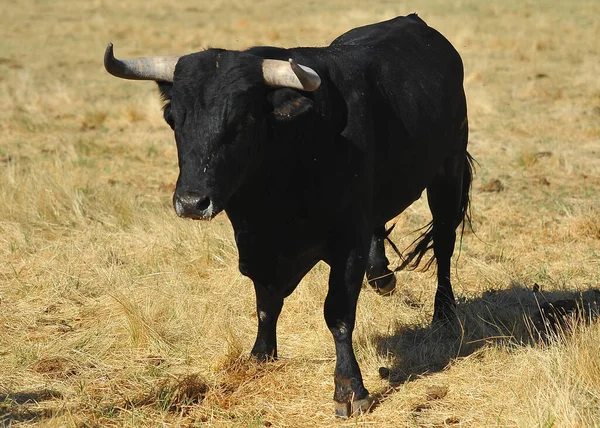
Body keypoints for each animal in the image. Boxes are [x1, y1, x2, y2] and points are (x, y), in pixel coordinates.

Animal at [105, 14, 476, 418]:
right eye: (173, 118)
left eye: (244, 120)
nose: (191, 202)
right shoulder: (256, 246)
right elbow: (266, 304)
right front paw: (261, 355)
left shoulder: (347, 242)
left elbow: (338, 313)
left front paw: (349, 389)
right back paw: (381, 275)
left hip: (448, 172)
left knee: (443, 243)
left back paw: (443, 313)